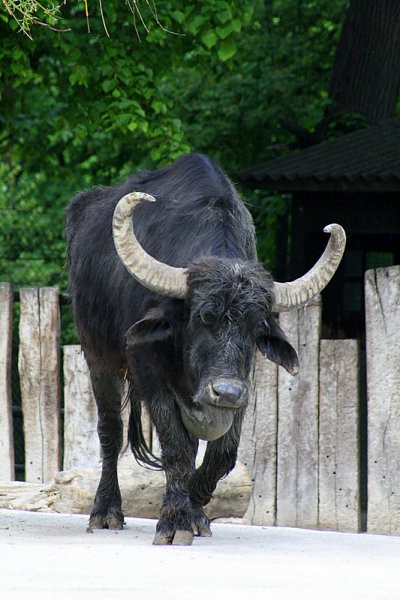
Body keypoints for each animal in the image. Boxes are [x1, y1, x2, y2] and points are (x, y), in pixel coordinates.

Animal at [65, 154, 344, 544]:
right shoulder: (149, 370)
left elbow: (221, 453)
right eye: (202, 316)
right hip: (98, 357)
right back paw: (106, 512)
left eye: (256, 326)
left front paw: (195, 510)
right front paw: (176, 519)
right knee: (110, 431)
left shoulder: (242, 382)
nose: (224, 392)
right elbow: (176, 446)